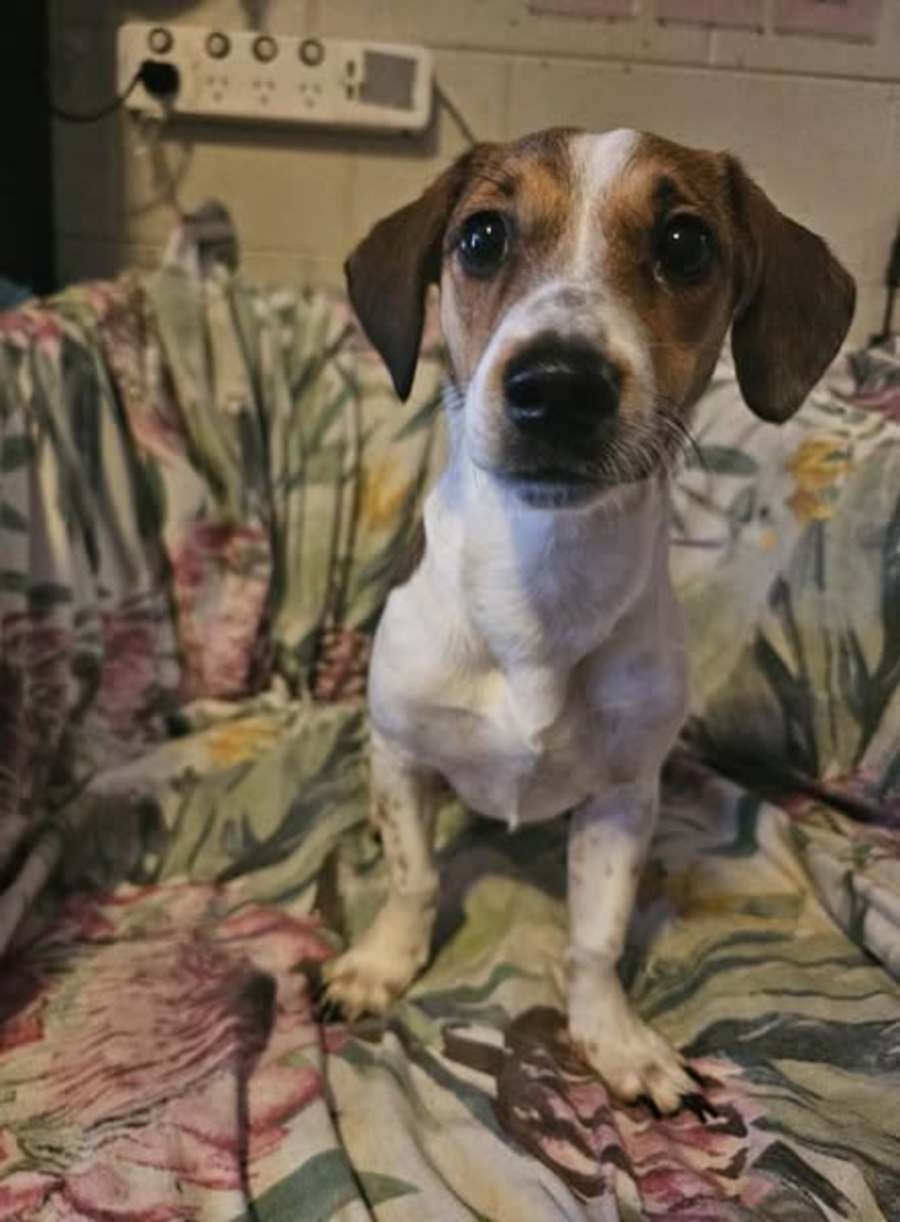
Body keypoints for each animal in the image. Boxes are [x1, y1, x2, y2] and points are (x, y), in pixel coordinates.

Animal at [323, 127, 855, 1116]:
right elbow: (415, 879)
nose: (559, 386)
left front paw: (610, 1037)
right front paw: (382, 964)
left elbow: (595, 937)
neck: (541, 586)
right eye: (481, 237)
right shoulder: (404, 755)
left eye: (686, 244)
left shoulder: (620, 798)